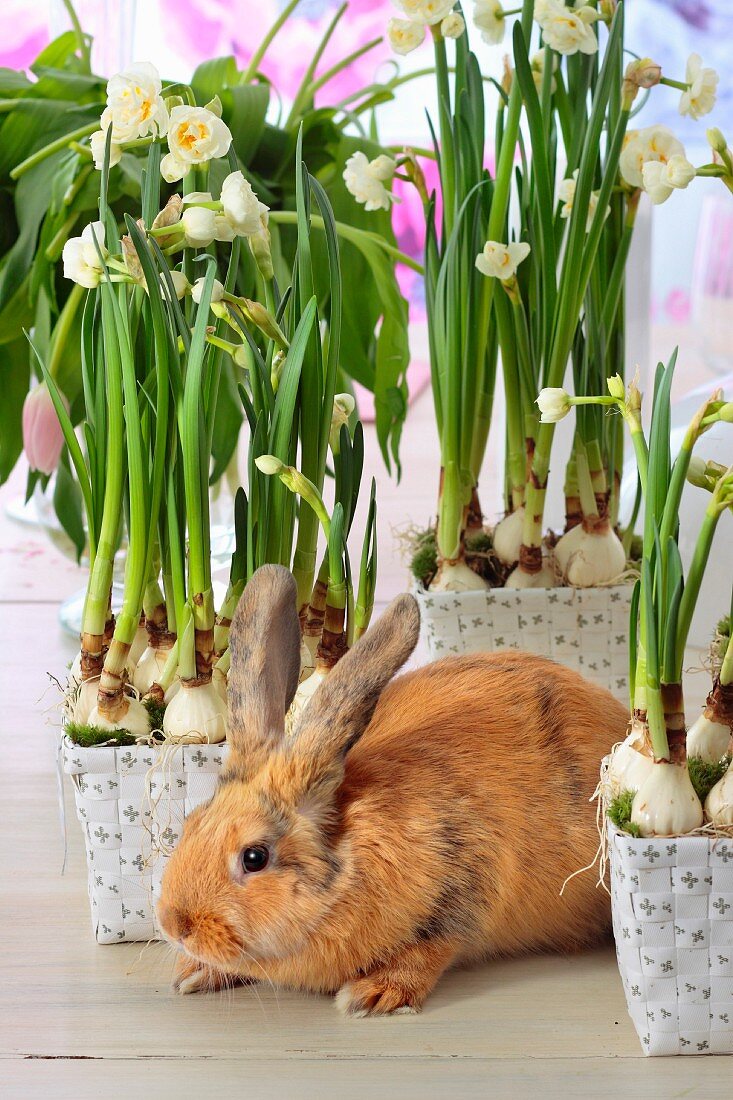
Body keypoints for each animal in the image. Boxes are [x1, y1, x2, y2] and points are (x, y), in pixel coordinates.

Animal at [157, 563, 625, 1016]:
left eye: (254, 858)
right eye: (191, 822)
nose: (175, 926)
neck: (350, 865)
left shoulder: (466, 881)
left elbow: (432, 946)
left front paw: (376, 994)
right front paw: (194, 974)